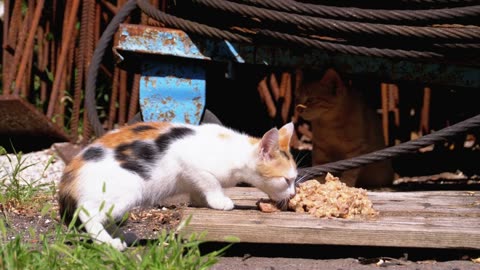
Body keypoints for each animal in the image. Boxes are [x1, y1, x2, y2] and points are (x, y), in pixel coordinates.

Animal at [58, 121, 298, 250]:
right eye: (287, 180)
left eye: (295, 180)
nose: (294, 193)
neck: (235, 150)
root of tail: (70, 173)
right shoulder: (188, 160)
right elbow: (211, 182)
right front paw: (220, 201)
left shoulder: (191, 176)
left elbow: (198, 187)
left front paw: (203, 202)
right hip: (127, 190)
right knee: (87, 212)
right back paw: (108, 242)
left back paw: (123, 235)